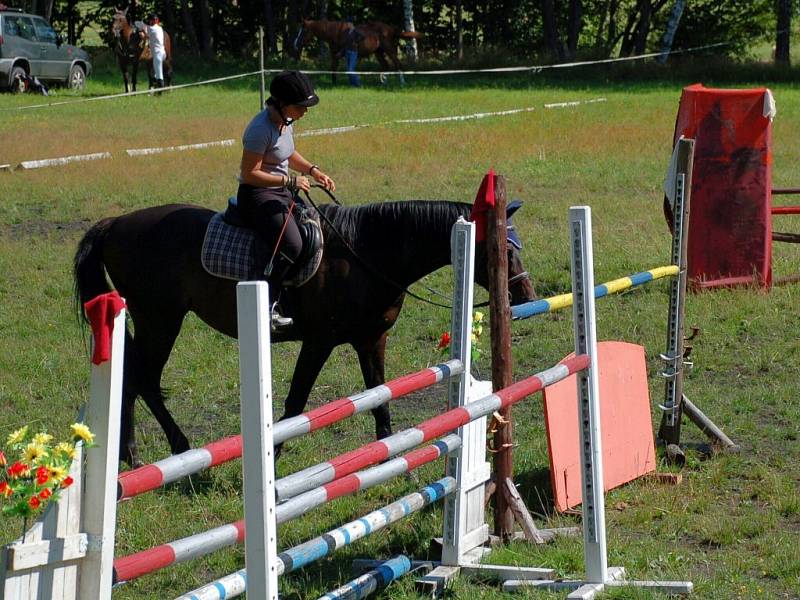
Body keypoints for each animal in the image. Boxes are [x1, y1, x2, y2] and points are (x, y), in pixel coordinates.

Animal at [75, 199, 536, 466]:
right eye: (502, 248)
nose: (525, 294)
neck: (366, 251)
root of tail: (116, 222)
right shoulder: (318, 342)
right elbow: (296, 402)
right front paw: (273, 455)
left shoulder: (372, 340)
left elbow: (380, 399)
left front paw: (388, 458)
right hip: (160, 319)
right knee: (142, 379)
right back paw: (158, 452)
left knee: (137, 379)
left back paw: (144, 453)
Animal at [296, 18, 424, 83]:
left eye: (304, 31)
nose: (296, 43)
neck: (338, 33)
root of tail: (392, 29)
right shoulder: (335, 54)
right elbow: (334, 67)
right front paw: (334, 83)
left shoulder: (345, 53)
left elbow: (347, 67)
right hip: (378, 52)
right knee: (385, 65)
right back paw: (383, 81)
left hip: (389, 50)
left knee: (397, 64)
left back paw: (402, 83)